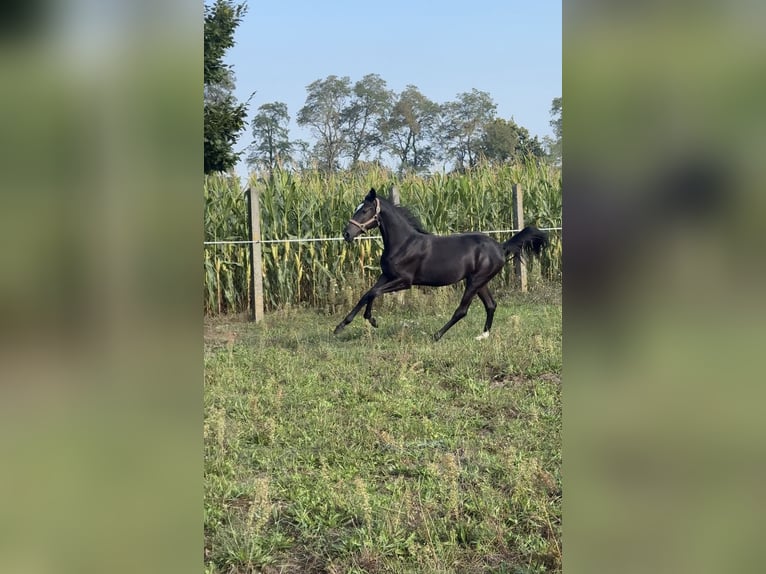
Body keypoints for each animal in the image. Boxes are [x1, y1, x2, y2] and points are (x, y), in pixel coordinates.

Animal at [333, 188, 549, 341]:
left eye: (365, 210)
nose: (347, 234)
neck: (403, 243)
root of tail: (501, 247)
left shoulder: (404, 281)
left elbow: (374, 292)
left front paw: (372, 320)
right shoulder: (386, 275)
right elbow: (367, 294)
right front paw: (341, 326)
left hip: (475, 282)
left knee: (462, 310)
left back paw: (436, 335)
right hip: (480, 282)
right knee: (491, 305)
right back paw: (483, 335)